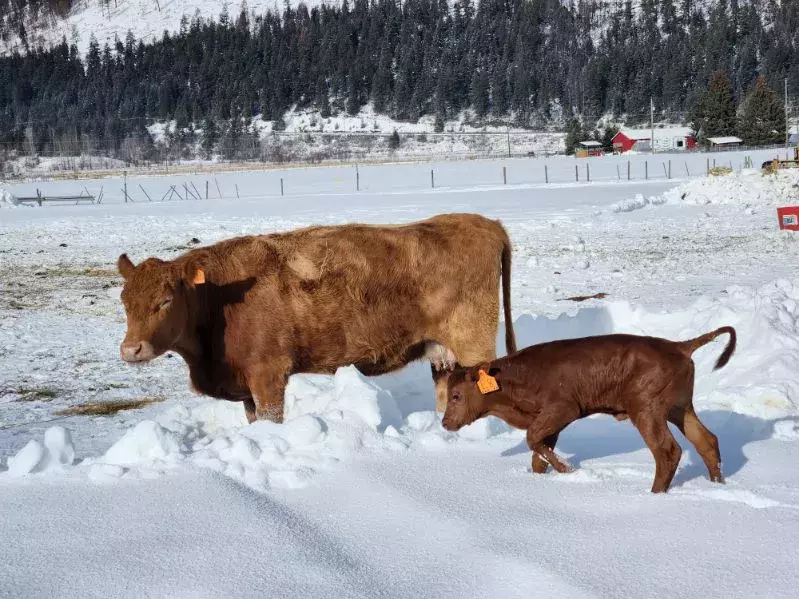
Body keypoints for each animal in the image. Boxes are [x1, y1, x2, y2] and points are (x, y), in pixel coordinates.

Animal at [119, 213, 520, 424]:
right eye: (124, 300)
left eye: (165, 300)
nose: (130, 350)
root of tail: (484, 223)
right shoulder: (246, 387)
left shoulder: (268, 377)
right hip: (442, 353)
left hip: (473, 343)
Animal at [440, 328, 736, 492]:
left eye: (456, 396)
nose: (444, 423)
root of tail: (678, 346)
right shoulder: (549, 421)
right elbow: (538, 452)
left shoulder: (563, 409)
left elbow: (532, 440)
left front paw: (568, 470)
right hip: (680, 409)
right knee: (706, 441)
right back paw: (717, 484)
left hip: (647, 410)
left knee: (667, 451)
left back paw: (654, 493)